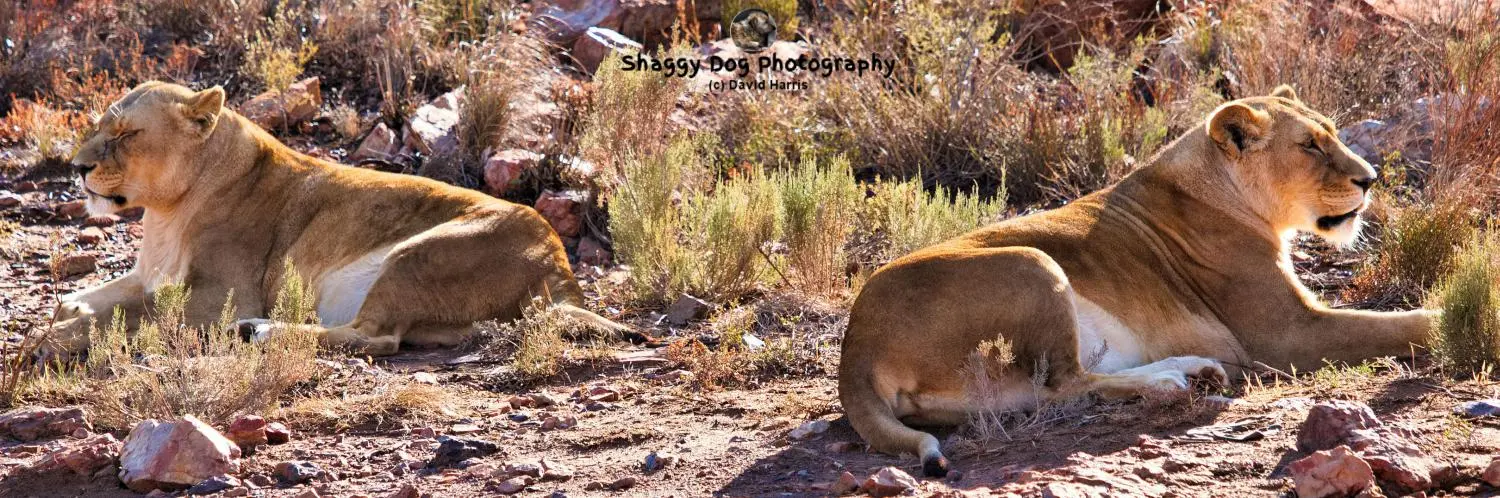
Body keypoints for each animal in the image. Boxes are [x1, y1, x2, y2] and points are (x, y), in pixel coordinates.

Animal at [40, 81, 629, 358]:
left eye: (126, 134)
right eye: (98, 125)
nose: (76, 167)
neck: (166, 213)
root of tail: (561, 268)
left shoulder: (219, 296)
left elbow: (128, 316)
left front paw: (55, 339)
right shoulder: (149, 275)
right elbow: (92, 297)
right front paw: (66, 314)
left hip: (420, 253)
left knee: (376, 338)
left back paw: (261, 331)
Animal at [838, 86, 1435, 477]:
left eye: (1330, 134)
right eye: (1309, 145)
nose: (1371, 179)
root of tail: (854, 348)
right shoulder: (1285, 334)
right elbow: (1396, 326)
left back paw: (1195, 370)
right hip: (1033, 263)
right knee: (1063, 386)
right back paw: (1172, 380)